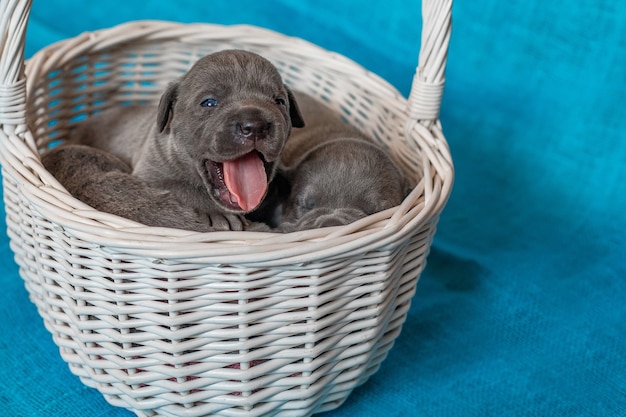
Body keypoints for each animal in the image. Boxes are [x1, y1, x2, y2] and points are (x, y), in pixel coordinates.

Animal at [40, 49, 302, 231]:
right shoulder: (148, 174)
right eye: (209, 103)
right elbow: (178, 186)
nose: (254, 125)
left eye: (279, 101)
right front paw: (215, 212)